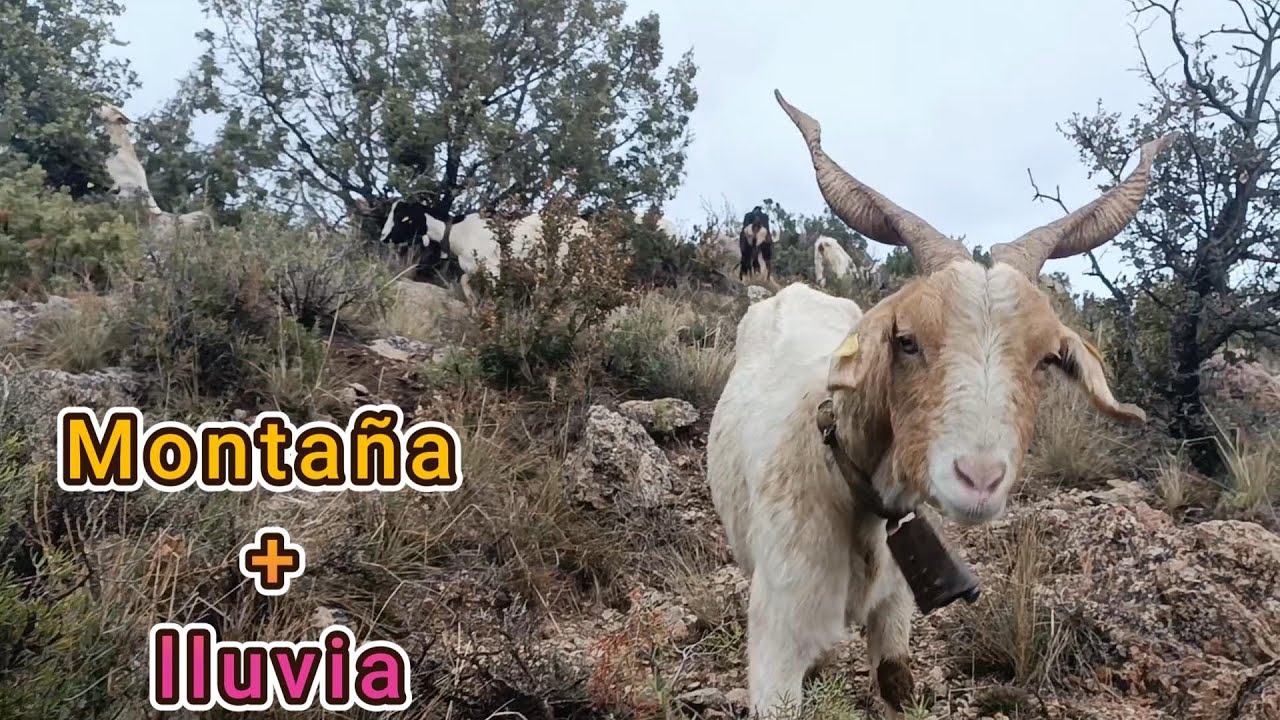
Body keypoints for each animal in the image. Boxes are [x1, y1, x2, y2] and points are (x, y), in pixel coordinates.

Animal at [706, 90, 1170, 717]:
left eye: (1048, 359)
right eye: (906, 340)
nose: (979, 479)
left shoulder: (896, 611)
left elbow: (897, 682)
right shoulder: (776, 636)